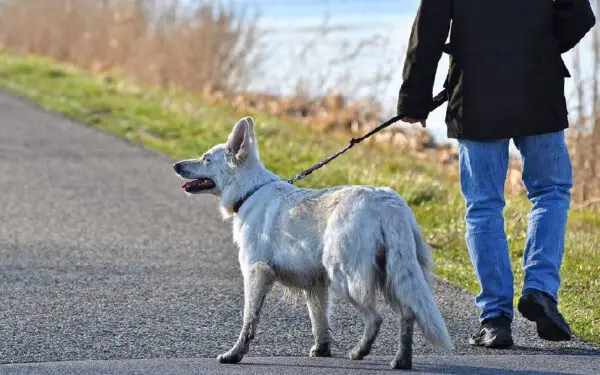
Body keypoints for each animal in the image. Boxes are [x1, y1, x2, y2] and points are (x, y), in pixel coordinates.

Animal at [172, 117, 450, 370]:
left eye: (206, 158)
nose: (176, 165)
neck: (249, 191)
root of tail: (388, 203)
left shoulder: (256, 273)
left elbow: (248, 321)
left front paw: (235, 354)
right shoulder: (315, 284)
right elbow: (319, 321)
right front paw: (322, 350)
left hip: (345, 278)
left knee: (376, 318)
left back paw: (360, 352)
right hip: (392, 275)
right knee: (408, 313)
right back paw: (402, 360)